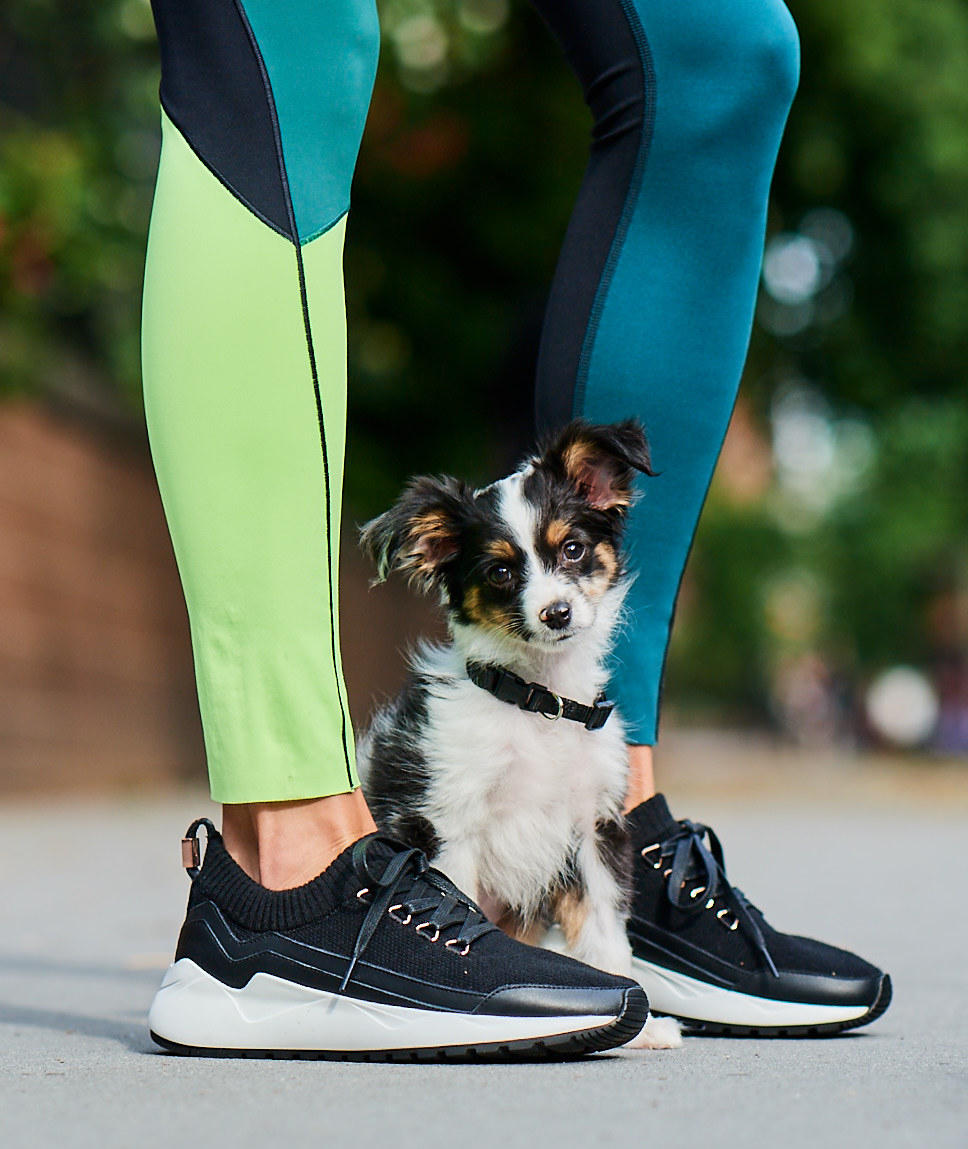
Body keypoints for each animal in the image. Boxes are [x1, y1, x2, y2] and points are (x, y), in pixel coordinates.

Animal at [354, 422, 680, 1052]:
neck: (539, 703)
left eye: (573, 548)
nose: (556, 613)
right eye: (500, 572)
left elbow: (606, 937)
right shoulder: (449, 826)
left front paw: (638, 1027)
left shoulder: (594, 830)